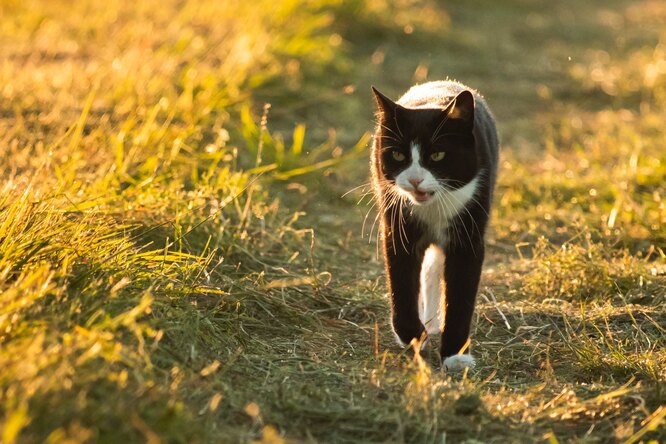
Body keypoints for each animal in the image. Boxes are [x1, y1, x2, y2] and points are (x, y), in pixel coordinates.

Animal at [370, 80, 496, 372]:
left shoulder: (469, 236)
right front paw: (414, 336)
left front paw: (455, 356)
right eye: (398, 155)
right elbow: (401, 284)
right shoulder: (397, 227)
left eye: (437, 155)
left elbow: (460, 294)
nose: (415, 179)